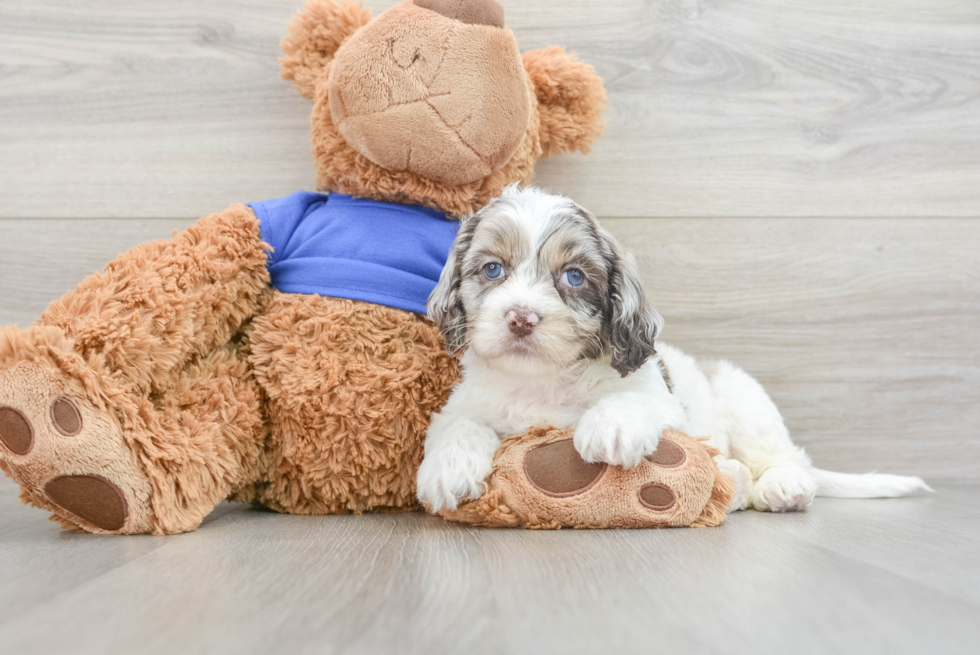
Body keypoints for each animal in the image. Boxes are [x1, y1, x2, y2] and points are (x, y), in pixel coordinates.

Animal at [416, 184, 936, 512]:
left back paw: (782, 486)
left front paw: (610, 426)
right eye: (492, 269)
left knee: (788, 459)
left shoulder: (665, 404)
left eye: (574, 276)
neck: (544, 382)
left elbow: (631, 399)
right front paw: (446, 470)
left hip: (745, 401)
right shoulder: (466, 404)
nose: (521, 318)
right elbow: (458, 424)